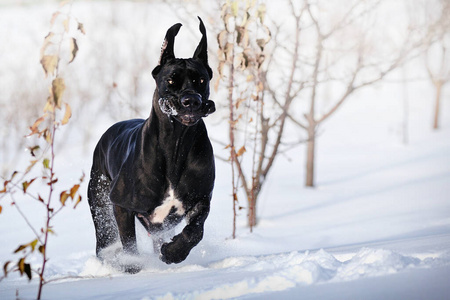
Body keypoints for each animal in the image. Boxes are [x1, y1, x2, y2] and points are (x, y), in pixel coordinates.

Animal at [87, 17, 216, 268]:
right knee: (105, 241)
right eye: (171, 80)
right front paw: (132, 265)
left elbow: (195, 231)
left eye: (201, 80)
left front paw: (174, 252)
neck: (176, 143)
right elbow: (128, 242)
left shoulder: (201, 198)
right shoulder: (121, 204)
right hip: (100, 203)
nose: (191, 101)